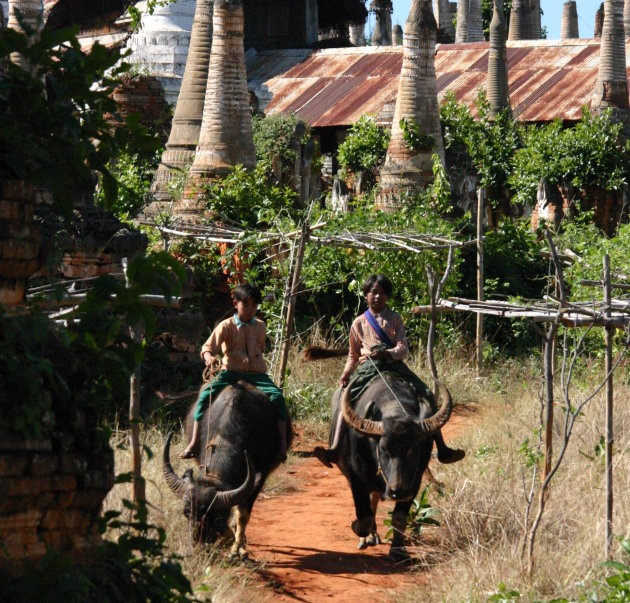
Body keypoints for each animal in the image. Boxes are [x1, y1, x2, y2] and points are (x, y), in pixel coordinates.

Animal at [162, 382, 292, 556]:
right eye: (186, 512)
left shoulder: (259, 477)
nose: (199, 542)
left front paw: (237, 548)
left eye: (214, 516)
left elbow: (242, 515)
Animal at [330, 376, 454, 564]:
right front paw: (358, 529)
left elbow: (399, 518)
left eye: (412, 449)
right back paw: (368, 537)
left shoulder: (414, 483)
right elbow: (364, 517)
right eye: (383, 449)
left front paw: (397, 551)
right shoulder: (357, 480)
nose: (397, 491)